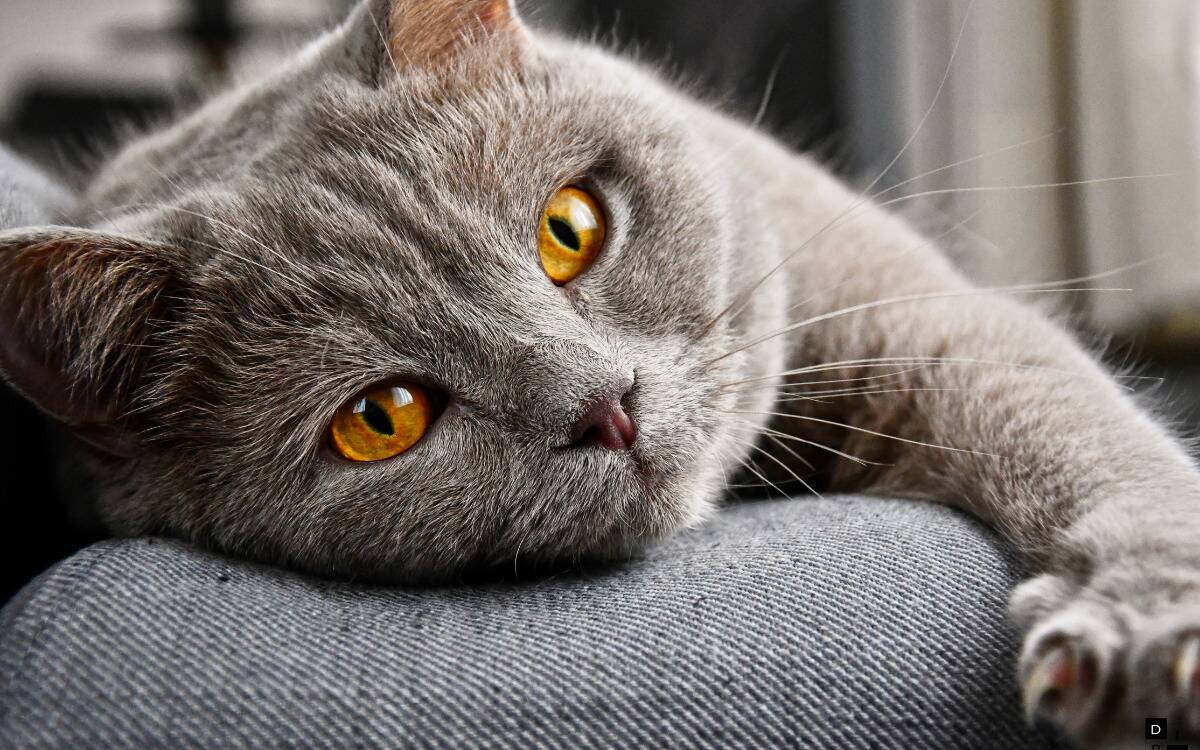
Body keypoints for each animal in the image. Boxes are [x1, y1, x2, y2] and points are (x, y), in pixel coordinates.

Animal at [0, 0, 1195, 739]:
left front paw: (1147, 630)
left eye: (569, 227)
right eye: (382, 417)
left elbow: (1075, 430)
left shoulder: (916, 320)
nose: (605, 405)